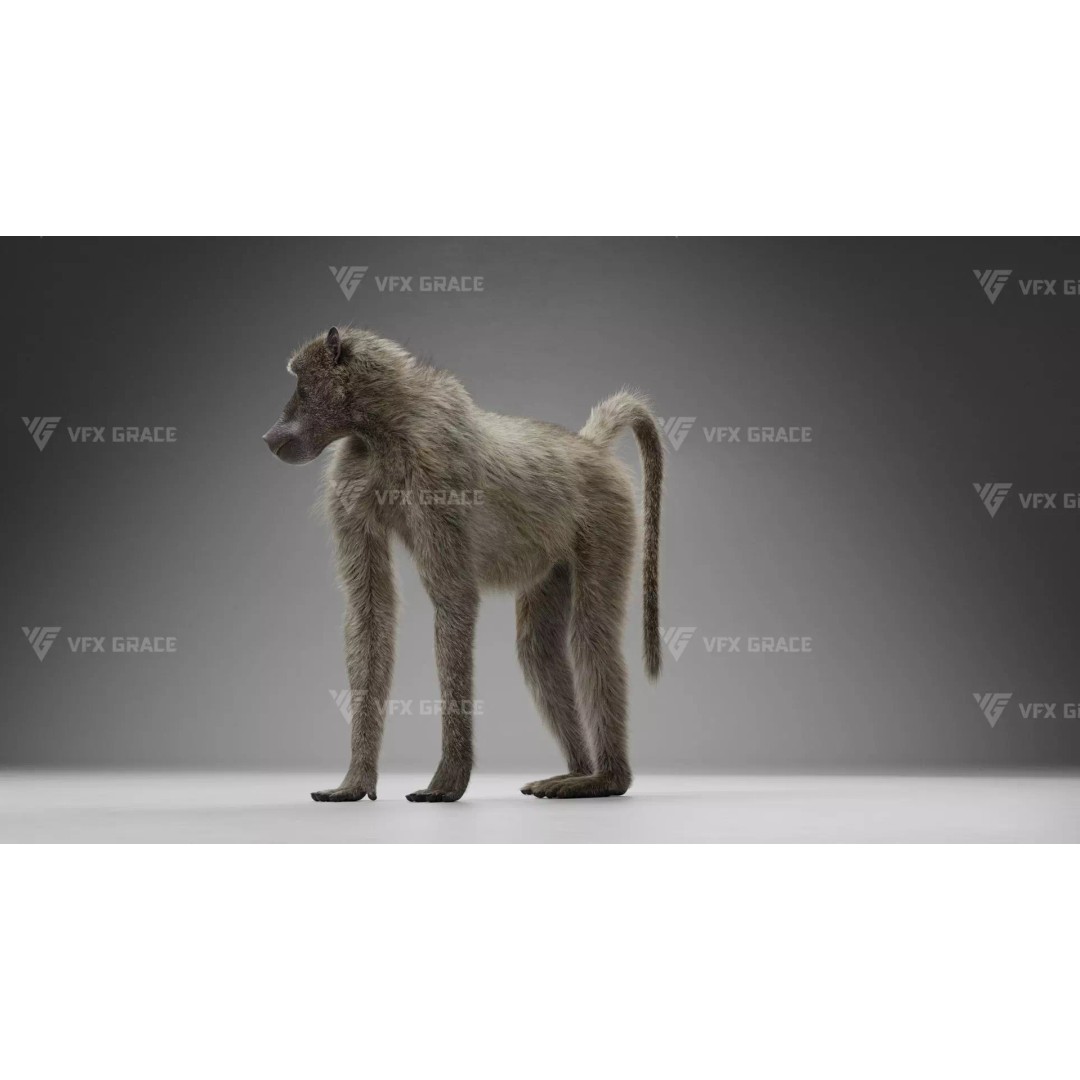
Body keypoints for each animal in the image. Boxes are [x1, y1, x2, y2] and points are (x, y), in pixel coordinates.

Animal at [262, 326, 663, 802]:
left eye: (299, 382)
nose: (269, 436)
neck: (387, 424)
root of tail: (590, 447)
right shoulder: (349, 478)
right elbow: (370, 611)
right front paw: (355, 782)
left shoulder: (435, 473)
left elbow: (455, 598)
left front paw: (447, 782)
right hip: (556, 557)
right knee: (538, 649)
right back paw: (577, 771)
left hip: (609, 516)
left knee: (591, 637)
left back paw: (606, 780)